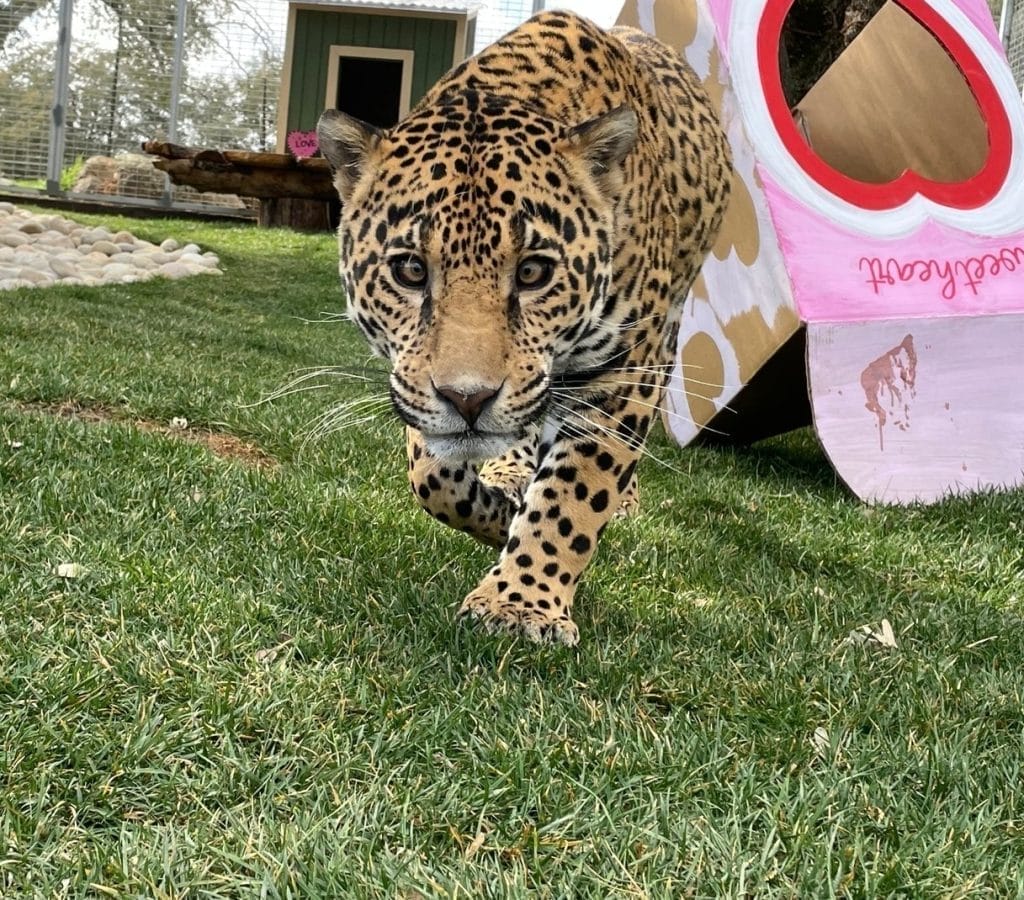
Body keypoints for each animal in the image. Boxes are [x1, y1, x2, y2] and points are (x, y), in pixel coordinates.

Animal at [316, 10, 731, 646]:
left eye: (534, 272)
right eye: (410, 270)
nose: (468, 399)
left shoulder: (624, 369)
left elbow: (574, 494)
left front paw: (520, 604)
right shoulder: (418, 389)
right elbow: (432, 475)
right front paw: (498, 515)